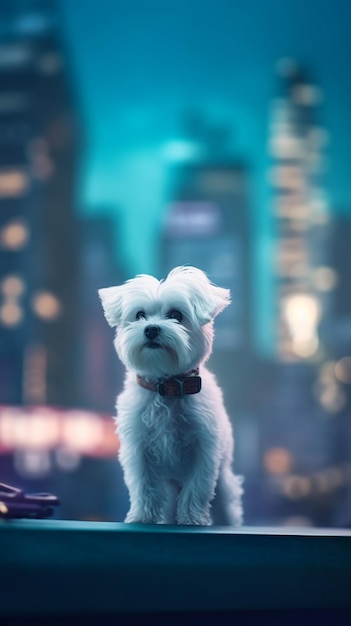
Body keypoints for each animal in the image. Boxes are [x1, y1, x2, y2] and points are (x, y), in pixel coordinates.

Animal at [97, 266, 243, 524]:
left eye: (176, 315)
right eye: (140, 315)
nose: (151, 329)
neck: (166, 386)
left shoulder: (204, 448)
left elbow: (197, 487)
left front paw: (192, 518)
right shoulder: (138, 448)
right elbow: (143, 485)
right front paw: (142, 516)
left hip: (225, 487)